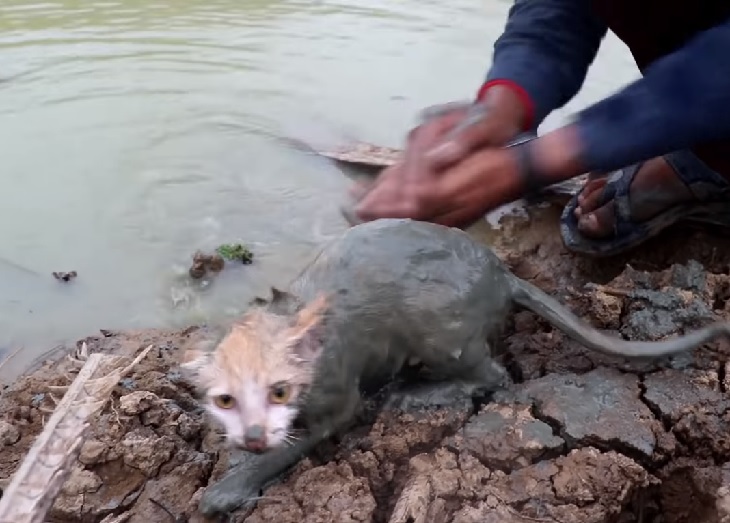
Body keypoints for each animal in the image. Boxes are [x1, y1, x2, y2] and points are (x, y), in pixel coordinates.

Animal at [181, 218, 728, 520]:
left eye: (279, 387)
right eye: (224, 396)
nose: (251, 435)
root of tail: (505, 278)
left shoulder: (335, 388)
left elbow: (311, 434)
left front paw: (225, 493)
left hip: (441, 331)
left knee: (494, 376)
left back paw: (414, 391)